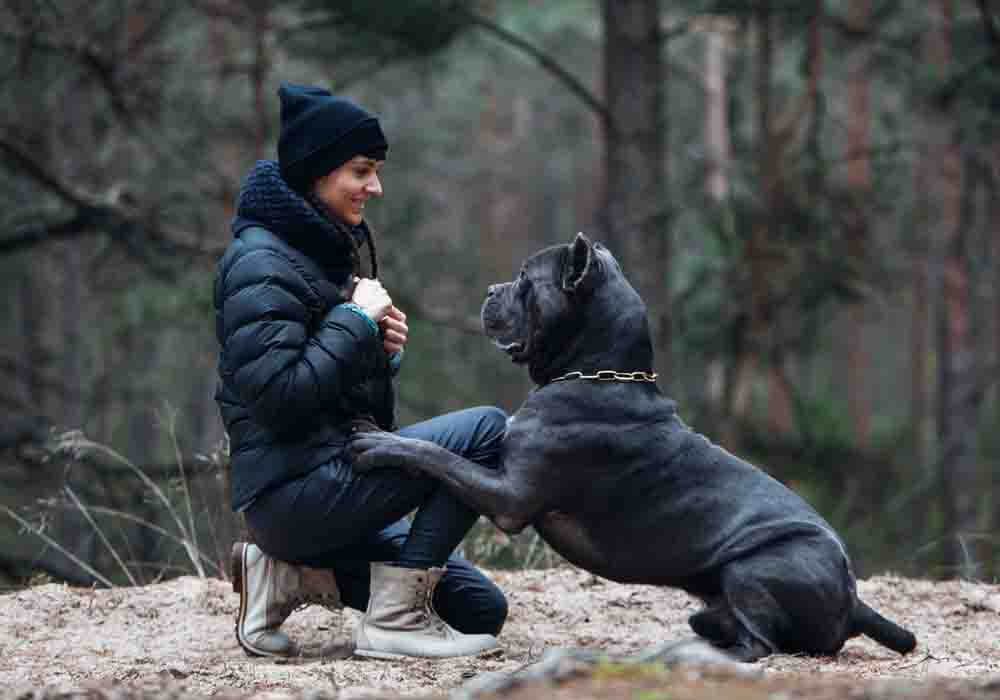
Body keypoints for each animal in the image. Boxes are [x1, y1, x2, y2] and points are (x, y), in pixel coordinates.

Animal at [350, 234, 916, 660]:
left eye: (526, 280)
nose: (492, 289)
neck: (599, 374)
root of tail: (853, 599)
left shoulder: (510, 496)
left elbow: (441, 456)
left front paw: (379, 441)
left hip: (756, 565)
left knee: (761, 645)